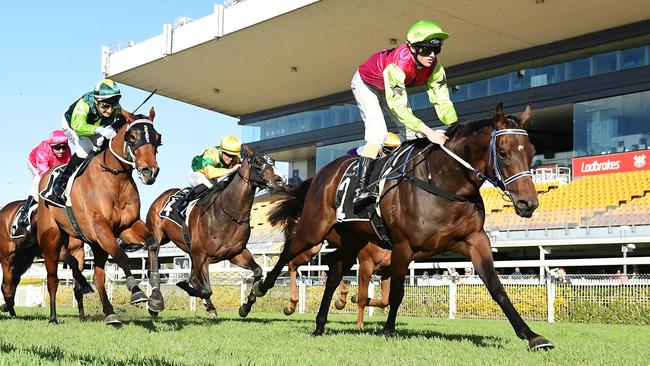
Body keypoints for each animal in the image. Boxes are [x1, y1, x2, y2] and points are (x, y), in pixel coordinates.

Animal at [36, 107, 162, 324]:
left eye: (158, 138)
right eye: (132, 137)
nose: (149, 171)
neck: (114, 179)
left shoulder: (127, 226)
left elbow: (152, 243)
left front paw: (155, 299)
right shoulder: (100, 228)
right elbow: (121, 255)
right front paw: (136, 291)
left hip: (93, 244)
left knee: (98, 275)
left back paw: (110, 313)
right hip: (52, 240)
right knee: (53, 278)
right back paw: (53, 317)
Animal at [146, 146, 284, 318]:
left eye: (274, 161)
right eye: (258, 162)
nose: (280, 180)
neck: (228, 214)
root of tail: (163, 195)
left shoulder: (236, 253)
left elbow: (258, 271)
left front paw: (245, 306)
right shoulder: (201, 256)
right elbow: (206, 289)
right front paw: (183, 286)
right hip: (158, 235)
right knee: (152, 257)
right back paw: (154, 302)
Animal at [246, 104, 548, 350]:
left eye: (533, 151)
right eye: (503, 152)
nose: (528, 203)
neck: (444, 183)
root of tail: (322, 172)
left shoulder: (475, 240)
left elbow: (497, 288)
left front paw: (532, 335)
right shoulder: (403, 245)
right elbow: (397, 293)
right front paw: (389, 329)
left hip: (352, 239)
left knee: (332, 274)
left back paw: (320, 324)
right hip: (314, 228)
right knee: (288, 253)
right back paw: (256, 294)